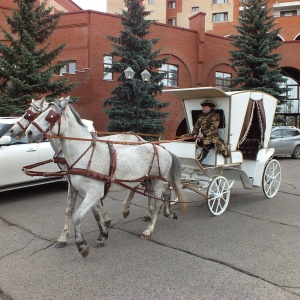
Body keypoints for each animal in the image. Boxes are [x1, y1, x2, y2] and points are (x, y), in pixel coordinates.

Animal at [25, 97, 188, 256]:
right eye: (36, 114)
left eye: (50, 116)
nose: (29, 132)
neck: (84, 153)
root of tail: (162, 148)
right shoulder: (86, 191)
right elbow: (94, 213)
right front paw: (102, 235)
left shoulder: (94, 192)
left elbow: (77, 216)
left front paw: (81, 244)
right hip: (150, 179)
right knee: (160, 193)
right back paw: (166, 213)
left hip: (158, 180)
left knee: (158, 201)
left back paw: (149, 229)